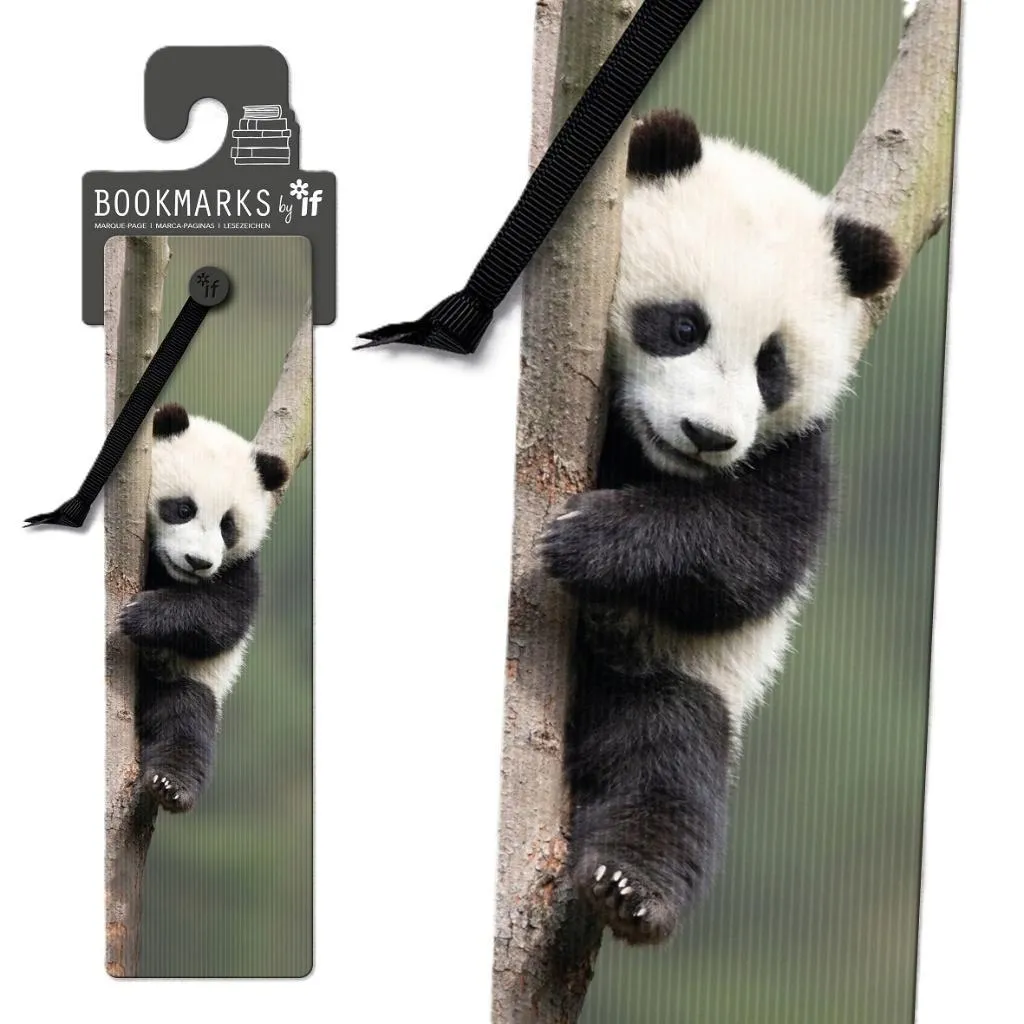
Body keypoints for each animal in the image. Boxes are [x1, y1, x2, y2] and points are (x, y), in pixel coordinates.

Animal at [118, 403, 289, 813]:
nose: (198, 562)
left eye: (228, 526)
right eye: (183, 508)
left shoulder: (241, 567)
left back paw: (170, 784)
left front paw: (141, 615)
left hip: (190, 681)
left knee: (185, 719)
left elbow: (223, 617)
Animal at [540, 111, 901, 944]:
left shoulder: (795, 451)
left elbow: (752, 552)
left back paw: (630, 888)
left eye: (773, 365)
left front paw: (585, 539)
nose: (707, 436)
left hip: (677, 678)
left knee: (666, 763)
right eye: (683, 326)